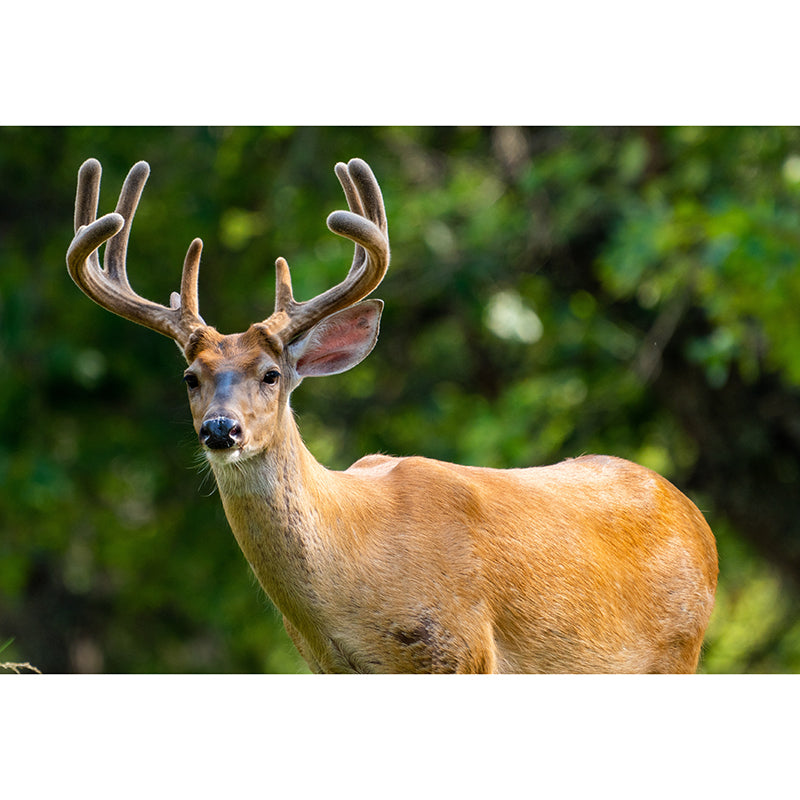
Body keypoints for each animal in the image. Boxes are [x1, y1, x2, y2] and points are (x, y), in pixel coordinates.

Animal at [67, 156, 718, 673]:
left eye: (272, 375)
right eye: (190, 378)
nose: (221, 429)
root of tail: (697, 520)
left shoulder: (462, 650)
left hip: (677, 652)